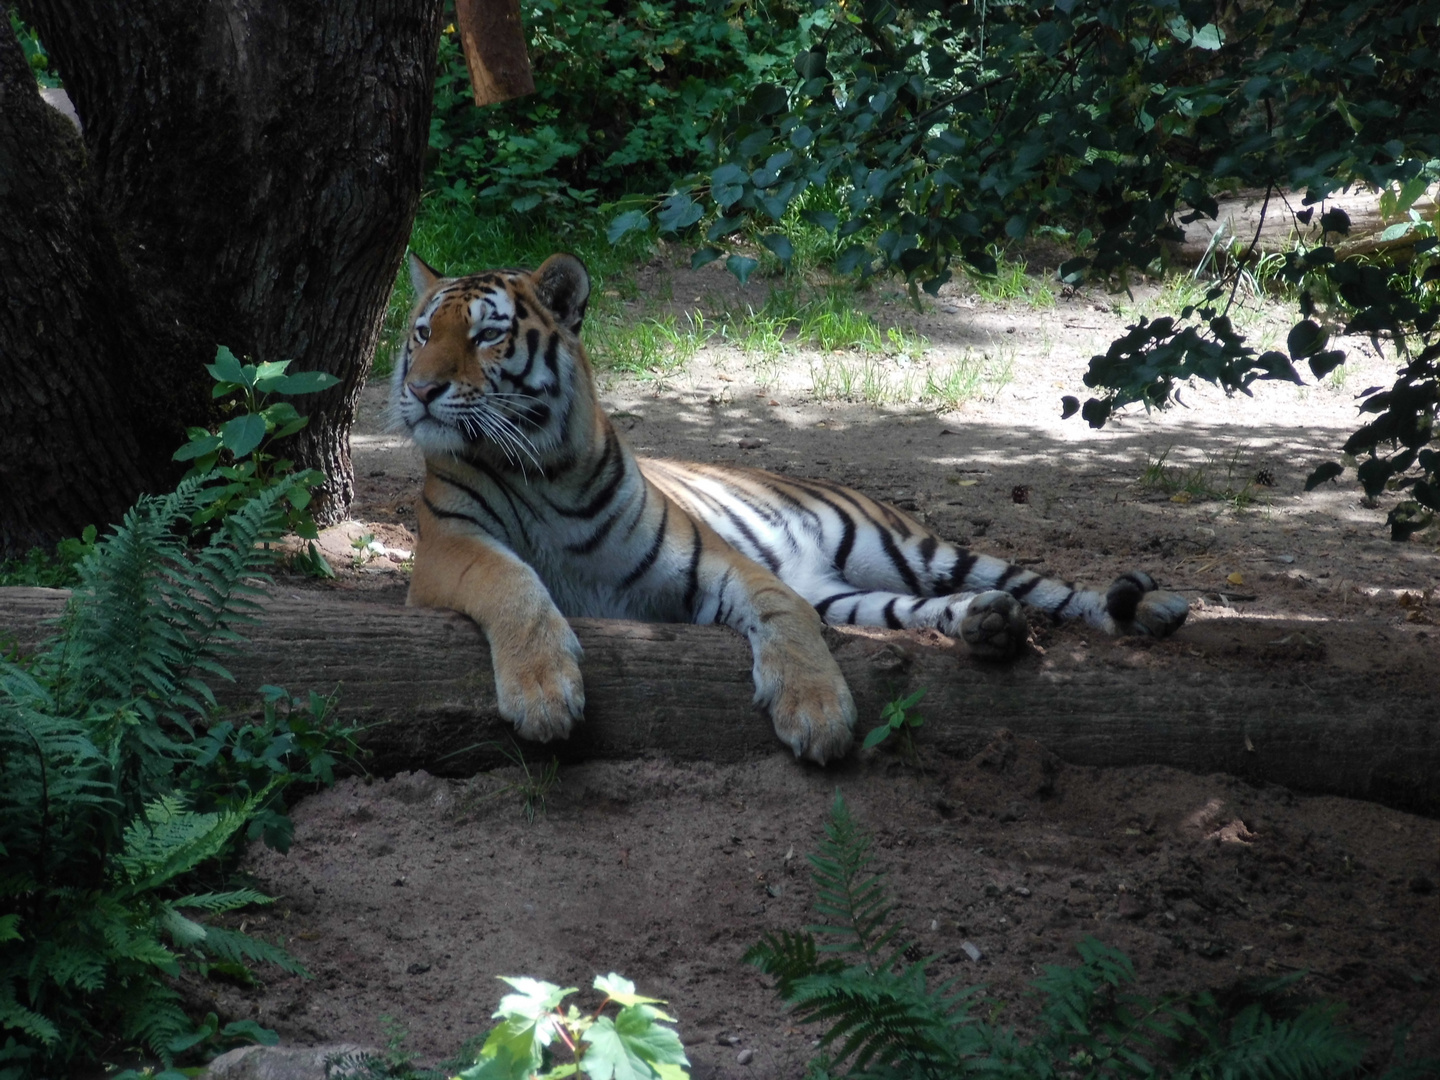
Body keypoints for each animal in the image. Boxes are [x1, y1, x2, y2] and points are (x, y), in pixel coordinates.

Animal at [388, 249, 1186, 766]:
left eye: (488, 335)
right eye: (423, 334)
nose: (420, 390)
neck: (545, 469)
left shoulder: (713, 562)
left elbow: (784, 616)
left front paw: (817, 713)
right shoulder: (449, 550)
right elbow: (514, 583)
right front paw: (544, 694)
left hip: (916, 549)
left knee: (1049, 587)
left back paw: (1149, 607)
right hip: (858, 596)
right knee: (923, 610)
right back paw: (987, 624)